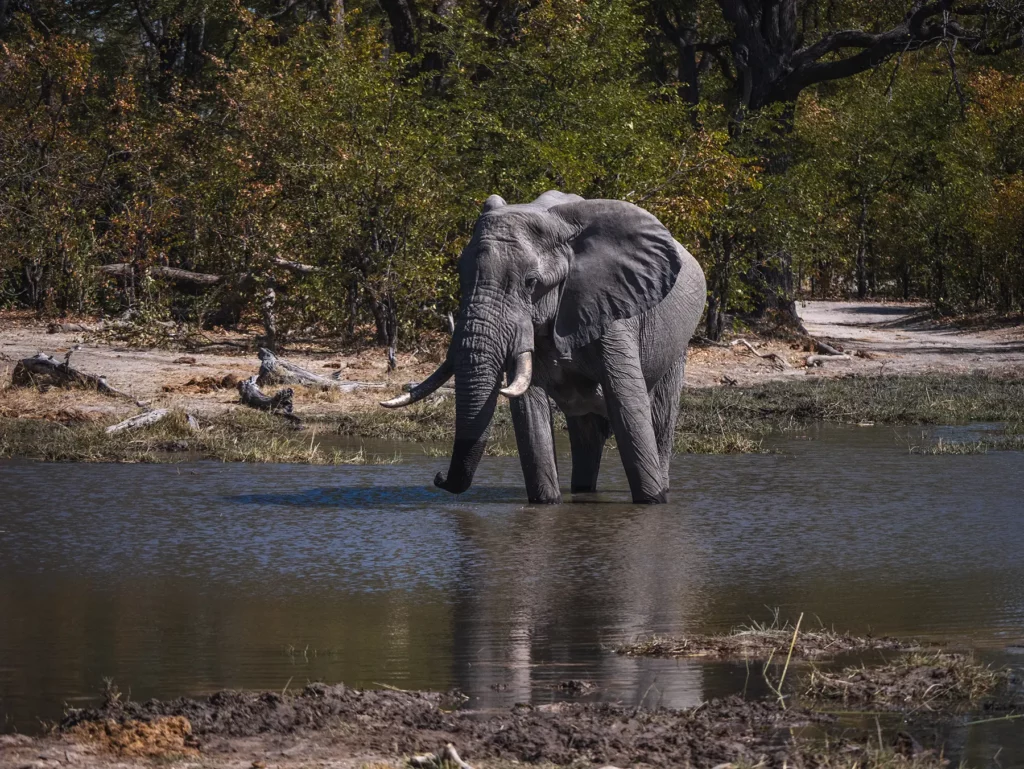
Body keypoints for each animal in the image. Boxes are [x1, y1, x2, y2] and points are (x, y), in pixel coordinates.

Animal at [381, 191, 707, 504]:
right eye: (461, 276)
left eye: (531, 283)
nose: (438, 478)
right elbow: (529, 410)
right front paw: (547, 503)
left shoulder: (613, 312)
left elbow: (627, 405)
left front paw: (652, 501)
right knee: (587, 432)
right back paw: (583, 491)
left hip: (676, 343)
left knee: (659, 417)